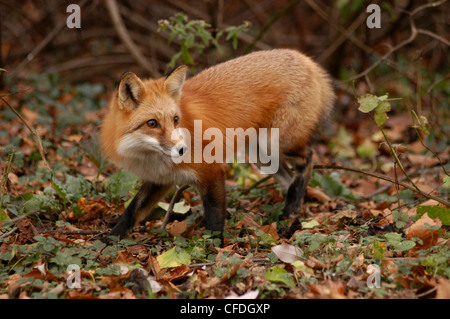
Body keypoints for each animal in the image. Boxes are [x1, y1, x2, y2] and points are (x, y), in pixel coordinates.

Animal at [101, 48, 334, 240]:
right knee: (288, 179)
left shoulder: (211, 171)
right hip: (261, 154)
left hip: (277, 142)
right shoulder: (160, 179)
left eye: (175, 119)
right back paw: (288, 213)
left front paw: (213, 249)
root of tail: (305, 59)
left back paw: (292, 207)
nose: (183, 149)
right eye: (152, 123)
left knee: (308, 161)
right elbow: (133, 210)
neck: (152, 159)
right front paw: (109, 239)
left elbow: (214, 217)